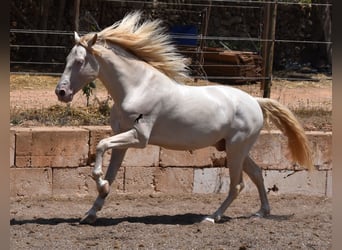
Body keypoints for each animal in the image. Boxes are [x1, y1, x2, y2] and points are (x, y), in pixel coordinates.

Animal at [54, 11, 312, 225]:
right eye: (67, 60)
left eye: (79, 62)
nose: (61, 92)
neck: (137, 87)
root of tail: (256, 102)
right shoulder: (122, 140)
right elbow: (111, 170)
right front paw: (91, 212)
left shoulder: (139, 137)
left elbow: (99, 146)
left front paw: (100, 184)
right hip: (232, 148)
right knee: (257, 174)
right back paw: (261, 212)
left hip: (236, 149)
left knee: (237, 184)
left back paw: (212, 217)